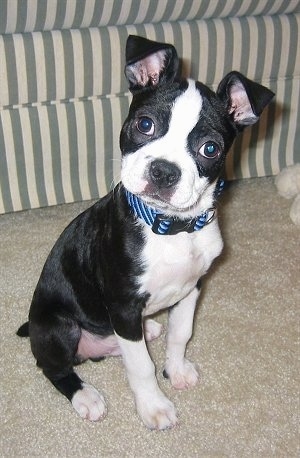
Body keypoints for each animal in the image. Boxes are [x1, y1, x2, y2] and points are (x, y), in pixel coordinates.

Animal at [17, 35, 274, 430]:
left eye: (210, 148)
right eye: (145, 124)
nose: (164, 171)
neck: (171, 227)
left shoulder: (193, 287)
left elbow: (181, 334)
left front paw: (176, 369)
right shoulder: (123, 306)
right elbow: (140, 366)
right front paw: (153, 405)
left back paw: (148, 329)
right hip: (58, 325)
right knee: (54, 367)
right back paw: (86, 396)